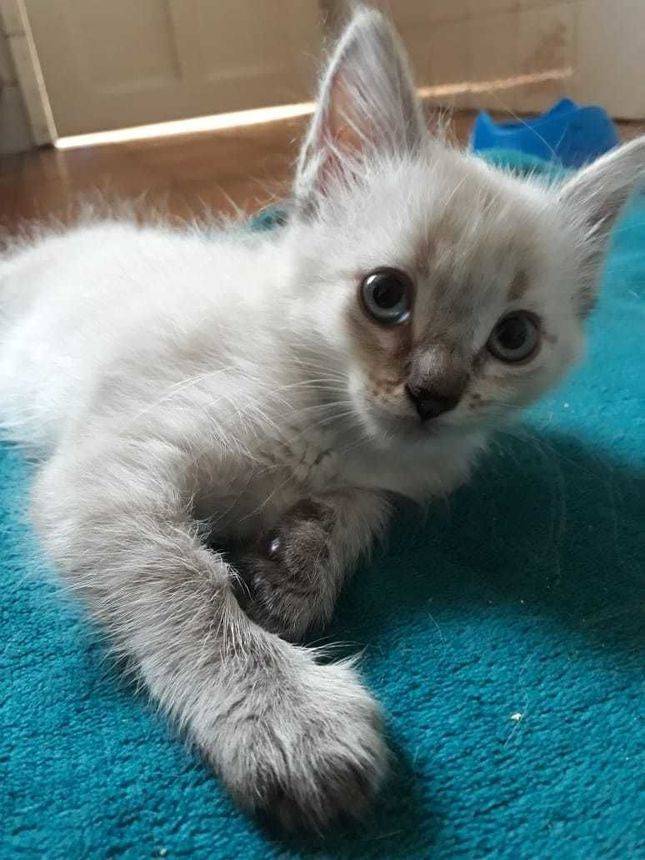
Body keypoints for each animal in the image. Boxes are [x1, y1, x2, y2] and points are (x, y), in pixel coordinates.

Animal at [0, 6, 643, 831]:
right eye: (385, 295)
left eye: (512, 338)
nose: (431, 394)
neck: (336, 431)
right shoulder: (104, 475)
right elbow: (183, 582)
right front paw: (286, 721)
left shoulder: (401, 480)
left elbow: (361, 509)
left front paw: (293, 574)